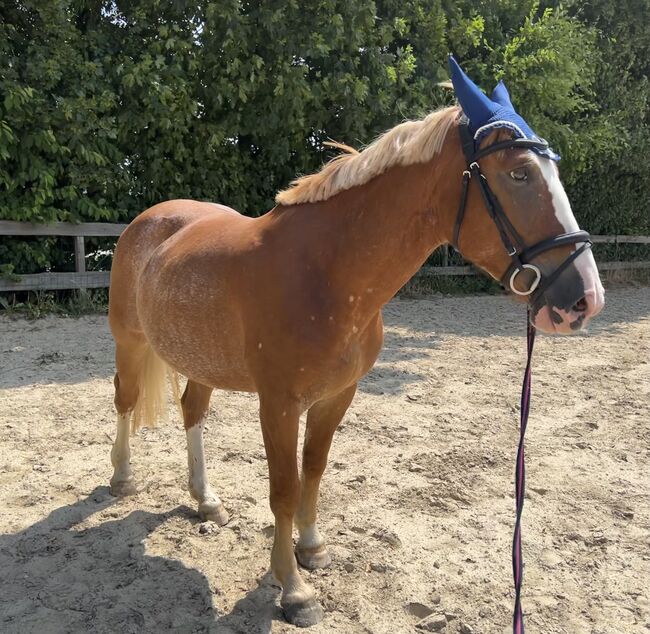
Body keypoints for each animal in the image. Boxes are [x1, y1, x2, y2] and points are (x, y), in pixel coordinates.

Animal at [105, 84, 604, 624]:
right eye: (519, 173)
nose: (585, 299)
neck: (325, 273)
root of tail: (151, 220)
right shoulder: (278, 404)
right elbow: (284, 488)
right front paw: (294, 589)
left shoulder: (337, 395)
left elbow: (314, 469)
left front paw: (311, 548)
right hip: (129, 342)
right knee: (125, 401)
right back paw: (122, 478)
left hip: (202, 360)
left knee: (192, 410)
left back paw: (206, 500)